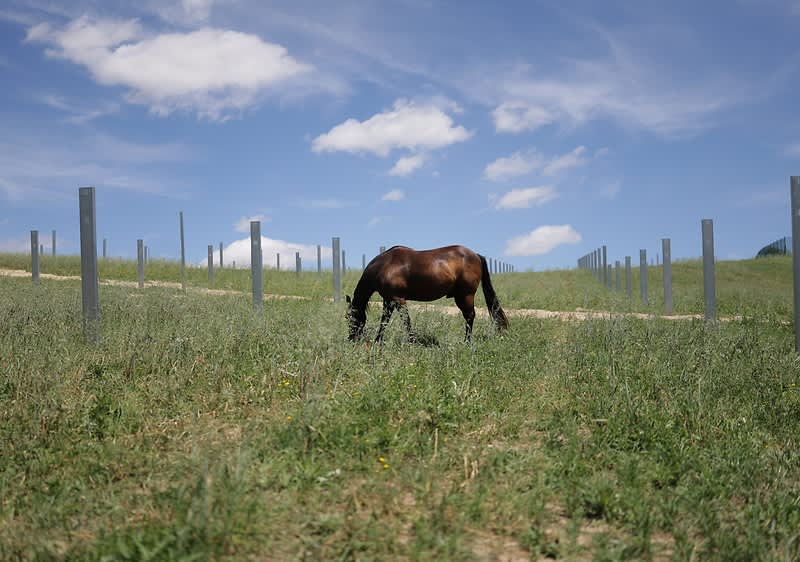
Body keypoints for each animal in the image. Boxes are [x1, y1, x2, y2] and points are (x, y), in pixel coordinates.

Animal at [345, 245, 508, 343]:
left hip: (465, 296)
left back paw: (467, 342)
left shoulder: (399, 300)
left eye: (349, 318)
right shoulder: (388, 300)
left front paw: (412, 341)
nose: (351, 339)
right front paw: (378, 341)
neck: (385, 265)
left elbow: (406, 321)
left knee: (470, 316)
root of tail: (476, 255)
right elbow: (384, 321)